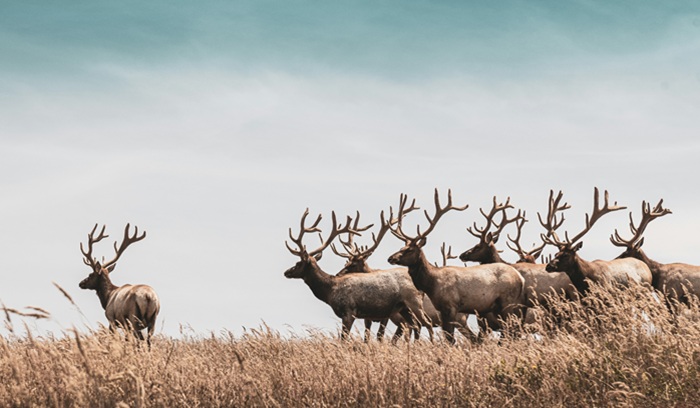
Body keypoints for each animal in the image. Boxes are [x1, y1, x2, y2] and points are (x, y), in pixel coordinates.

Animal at [283, 209, 433, 341]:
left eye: (298, 263)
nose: (286, 272)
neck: (330, 290)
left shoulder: (349, 311)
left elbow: (344, 339)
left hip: (413, 301)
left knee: (426, 323)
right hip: (403, 308)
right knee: (416, 325)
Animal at [387, 189, 526, 344]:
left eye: (410, 250)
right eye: (401, 247)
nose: (391, 258)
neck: (432, 284)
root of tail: (521, 279)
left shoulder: (451, 306)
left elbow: (450, 338)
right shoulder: (442, 309)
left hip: (508, 302)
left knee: (512, 329)